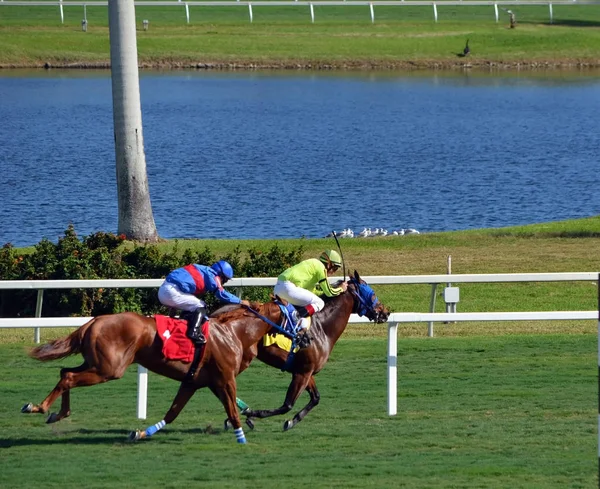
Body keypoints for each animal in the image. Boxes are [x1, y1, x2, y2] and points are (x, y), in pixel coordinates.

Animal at [24, 302, 284, 442]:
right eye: (290, 311)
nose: (294, 335)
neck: (232, 332)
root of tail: (93, 321)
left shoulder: (196, 381)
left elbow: (172, 413)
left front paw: (140, 433)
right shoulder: (225, 379)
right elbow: (232, 410)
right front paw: (242, 438)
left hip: (95, 363)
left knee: (64, 372)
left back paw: (55, 412)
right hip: (109, 369)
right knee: (68, 377)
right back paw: (41, 407)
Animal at [241, 270, 392, 430]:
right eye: (373, 293)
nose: (386, 313)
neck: (322, 327)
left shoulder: (305, 371)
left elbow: (316, 398)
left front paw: (292, 420)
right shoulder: (302, 372)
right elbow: (287, 405)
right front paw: (251, 414)